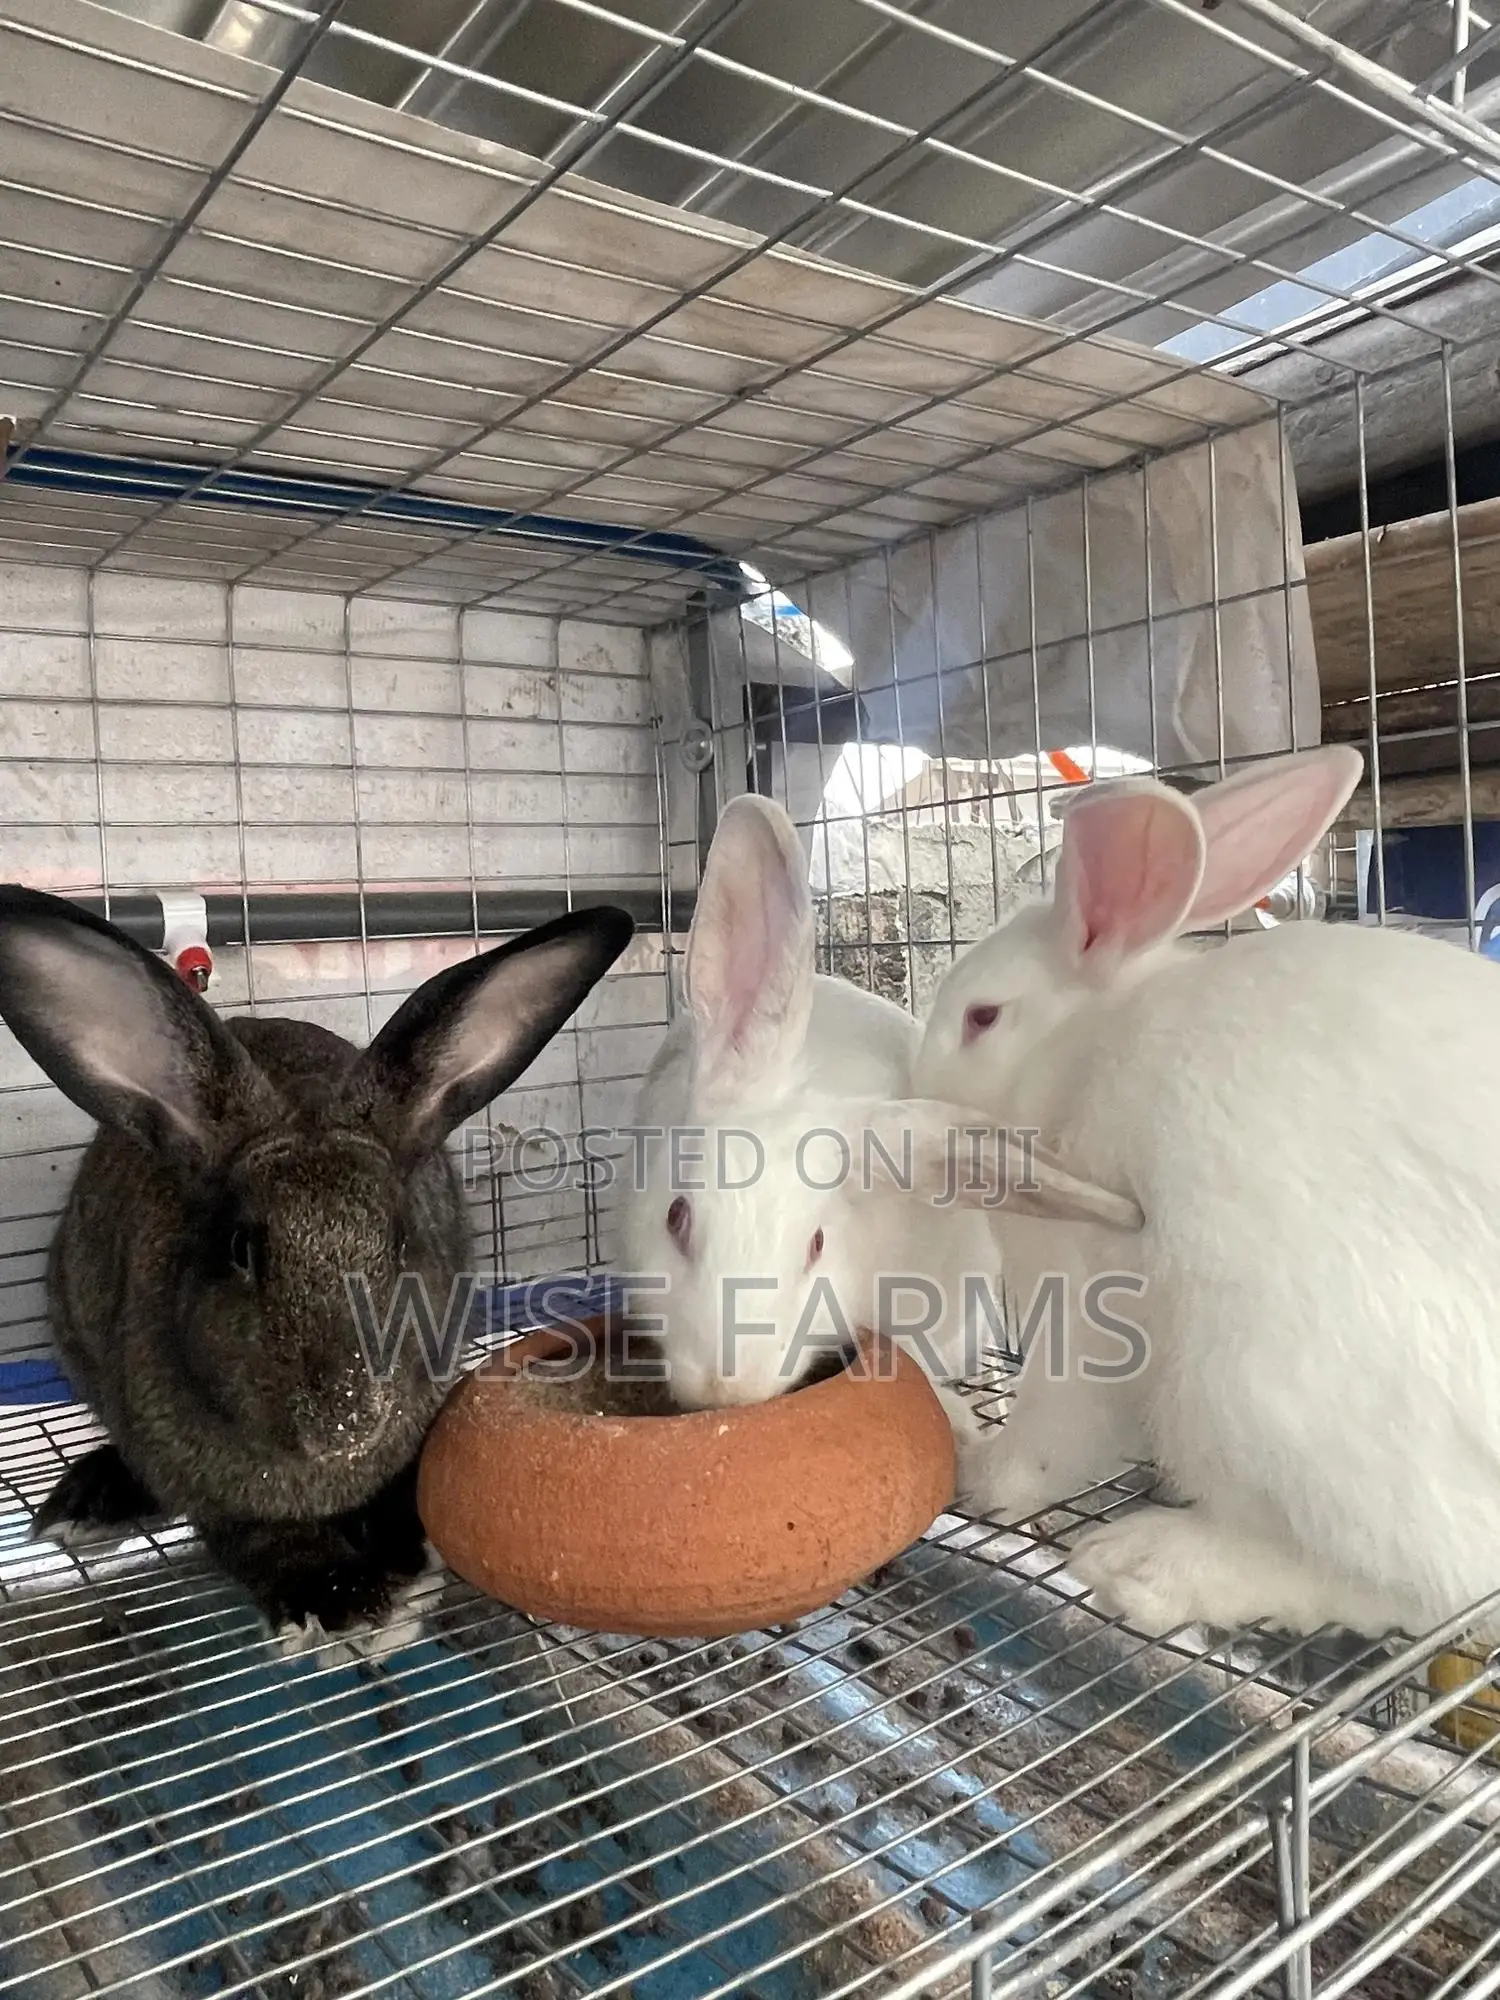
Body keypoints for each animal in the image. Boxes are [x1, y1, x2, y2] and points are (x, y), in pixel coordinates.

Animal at [0, 886, 633, 1654]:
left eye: (399, 1240)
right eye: (243, 1249)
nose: (347, 1419)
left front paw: (401, 1567)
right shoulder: (207, 1488)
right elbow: (259, 1540)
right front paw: (337, 1598)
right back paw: (87, 1501)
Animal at [889, 741, 1500, 1645]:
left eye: (983, 1017)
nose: (918, 1086)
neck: (1082, 1055)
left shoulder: (1084, 1301)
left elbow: (1051, 1435)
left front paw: (980, 1468)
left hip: (1262, 1381)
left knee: (1435, 1577)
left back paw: (1149, 1566)